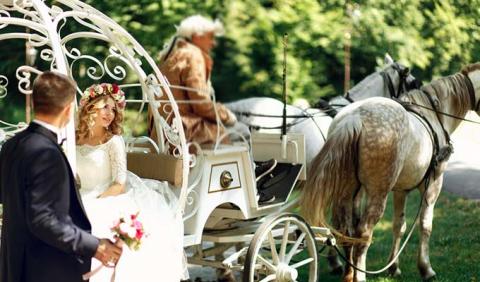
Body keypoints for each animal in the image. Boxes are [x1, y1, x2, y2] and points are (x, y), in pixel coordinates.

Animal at [302, 64, 480, 282]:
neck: (436, 114)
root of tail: (354, 119)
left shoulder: (400, 190)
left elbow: (399, 225)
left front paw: (393, 267)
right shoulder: (433, 184)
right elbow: (425, 224)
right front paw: (426, 268)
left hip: (347, 191)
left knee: (345, 230)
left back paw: (349, 273)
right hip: (378, 193)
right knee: (363, 233)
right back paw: (359, 276)